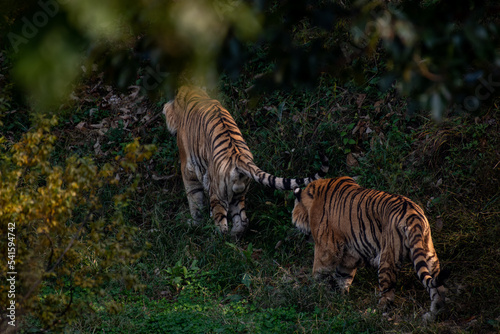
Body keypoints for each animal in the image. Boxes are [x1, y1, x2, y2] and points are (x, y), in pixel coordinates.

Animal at [162, 85, 330, 239]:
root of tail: (239, 157)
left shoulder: (188, 167)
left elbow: (194, 198)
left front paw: (194, 222)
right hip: (238, 194)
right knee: (243, 220)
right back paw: (234, 235)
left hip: (218, 194)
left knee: (221, 224)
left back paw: (216, 239)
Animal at [292, 177, 448, 320]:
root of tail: (414, 215)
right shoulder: (349, 255)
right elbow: (343, 276)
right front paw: (339, 299)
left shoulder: (327, 248)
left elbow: (319, 271)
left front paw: (314, 292)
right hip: (428, 254)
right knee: (437, 288)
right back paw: (434, 314)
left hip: (388, 259)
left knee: (387, 294)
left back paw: (374, 313)